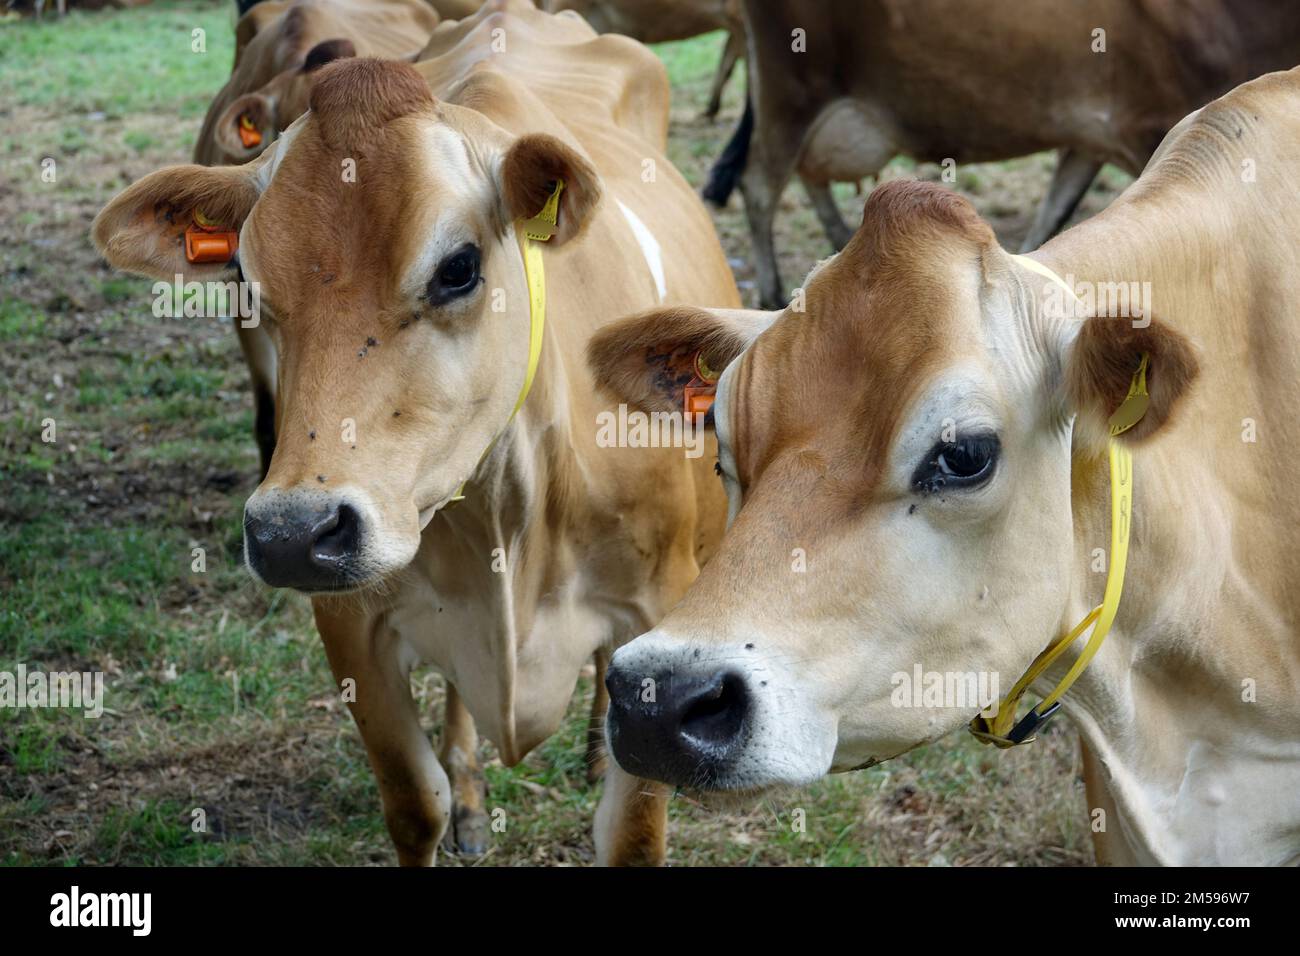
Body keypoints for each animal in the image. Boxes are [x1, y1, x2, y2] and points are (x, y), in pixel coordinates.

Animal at [717, 0, 1300, 306]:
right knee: (760, 184)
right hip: (791, 92)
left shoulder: (1088, 144)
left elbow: (1052, 219)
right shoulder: (1150, 126)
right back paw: (771, 288)